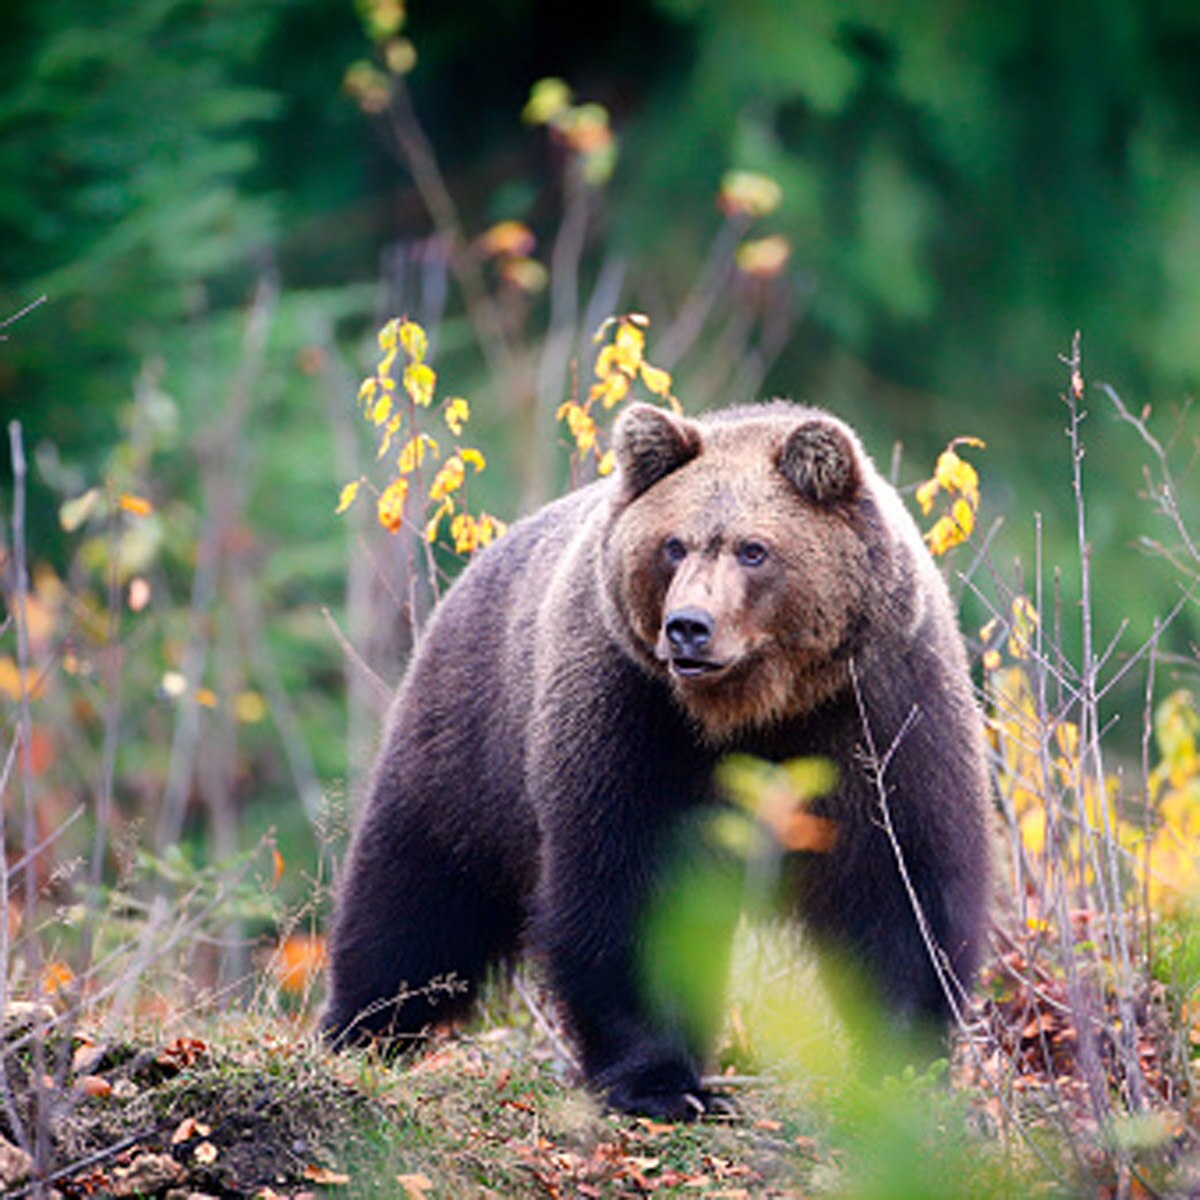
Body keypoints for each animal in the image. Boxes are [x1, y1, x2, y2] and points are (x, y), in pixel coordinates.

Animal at [322, 399, 992, 1120]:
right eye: (673, 545)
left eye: (754, 550)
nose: (689, 627)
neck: (759, 707)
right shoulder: (634, 713)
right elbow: (629, 885)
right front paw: (663, 1084)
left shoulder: (878, 711)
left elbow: (902, 885)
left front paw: (901, 1068)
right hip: (472, 739)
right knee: (416, 892)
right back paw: (363, 1028)